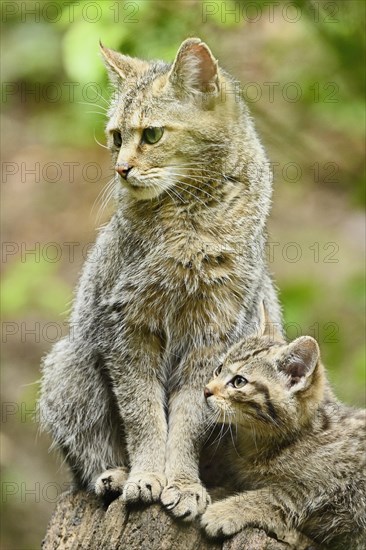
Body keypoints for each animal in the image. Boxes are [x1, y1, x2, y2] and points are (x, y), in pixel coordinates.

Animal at [39, 38, 284, 520]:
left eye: (152, 135)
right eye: (116, 137)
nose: (121, 169)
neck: (189, 220)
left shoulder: (213, 338)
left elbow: (188, 420)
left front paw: (185, 484)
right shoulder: (127, 329)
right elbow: (144, 416)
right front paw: (146, 477)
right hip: (69, 365)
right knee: (87, 455)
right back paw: (113, 476)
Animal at [202, 324, 364, 548]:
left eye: (239, 381)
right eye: (218, 369)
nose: (206, 390)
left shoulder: (325, 485)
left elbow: (275, 495)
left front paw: (225, 510)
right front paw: (220, 492)